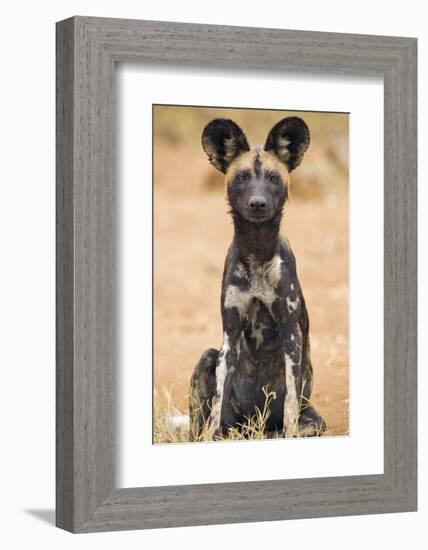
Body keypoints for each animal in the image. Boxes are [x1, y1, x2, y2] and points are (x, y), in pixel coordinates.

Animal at [189, 118, 326, 442]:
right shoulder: (230, 336)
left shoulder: (291, 334)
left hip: (314, 421)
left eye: (274, 178)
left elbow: (290, 404)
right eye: (241, 178)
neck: (257, 251)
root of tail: (254, 428)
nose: (258, 203)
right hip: (209, 358)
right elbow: (217, 403)